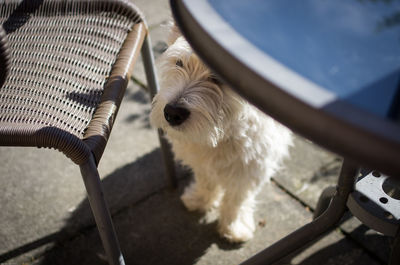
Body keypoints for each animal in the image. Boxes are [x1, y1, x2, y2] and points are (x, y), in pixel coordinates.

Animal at [148, 26, 292, 241]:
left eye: (218, 77)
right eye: (179, 63)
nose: (172, 113)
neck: (221, 134)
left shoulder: (250, 168)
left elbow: (237, 198)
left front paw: (234, 226)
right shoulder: (201, 162)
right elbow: (206, 181)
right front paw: (200, 200)